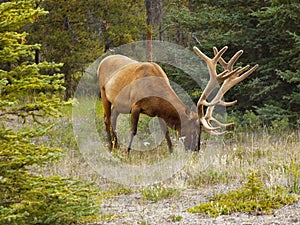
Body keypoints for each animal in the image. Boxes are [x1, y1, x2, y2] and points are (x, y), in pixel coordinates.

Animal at [98, 45, 258, 155]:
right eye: (194, 129)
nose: (196, 149)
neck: (155, 93)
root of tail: (102, 60)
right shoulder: (136, 106)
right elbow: (133, 131)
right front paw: (128, 153)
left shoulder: (158, 112)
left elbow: (166, 133)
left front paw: (171, 152)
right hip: (104, 92)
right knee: (107, 118)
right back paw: (110, 147)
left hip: (119, 104)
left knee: (113, 117)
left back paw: (116, 144)